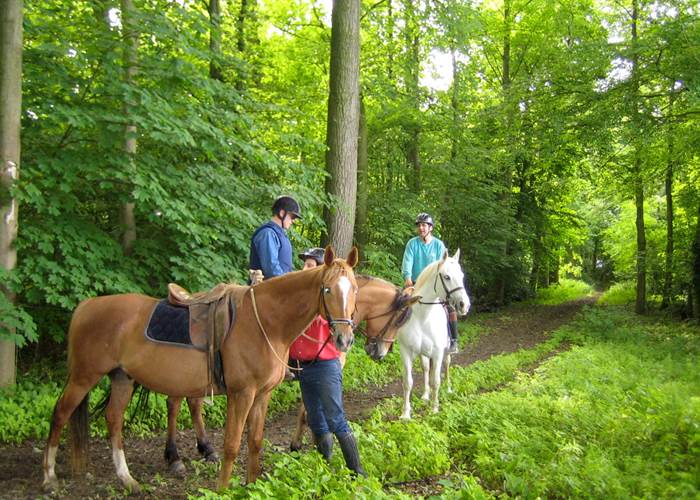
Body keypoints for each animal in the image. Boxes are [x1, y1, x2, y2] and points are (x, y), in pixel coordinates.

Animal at [42, 246, 359, 493]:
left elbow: (255, 442)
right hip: (84, 376)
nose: (344, 339)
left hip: (122, 378)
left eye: (354, 289)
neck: (266, 324)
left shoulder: (262, 394)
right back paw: (49, 477)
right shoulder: (241, 393)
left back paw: (127, 479)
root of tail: (85, 307)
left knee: (114, 419)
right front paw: (222, 489)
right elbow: (232, 444)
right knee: (60, 414)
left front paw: (251, 485)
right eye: (327, 289)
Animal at [392, 249, 470, 419]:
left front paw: (434, 409)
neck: (423, 316)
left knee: (446, 366)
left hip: (446, 352)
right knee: (426, 368)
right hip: (423, 353)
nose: (464, 305)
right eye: (446, 277)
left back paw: (448, 389)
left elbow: (436, 381)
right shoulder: (406, 352)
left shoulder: (438, 352)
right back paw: (425, 395)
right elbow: (408, 382)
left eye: (461, 276)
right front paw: (405, 413)